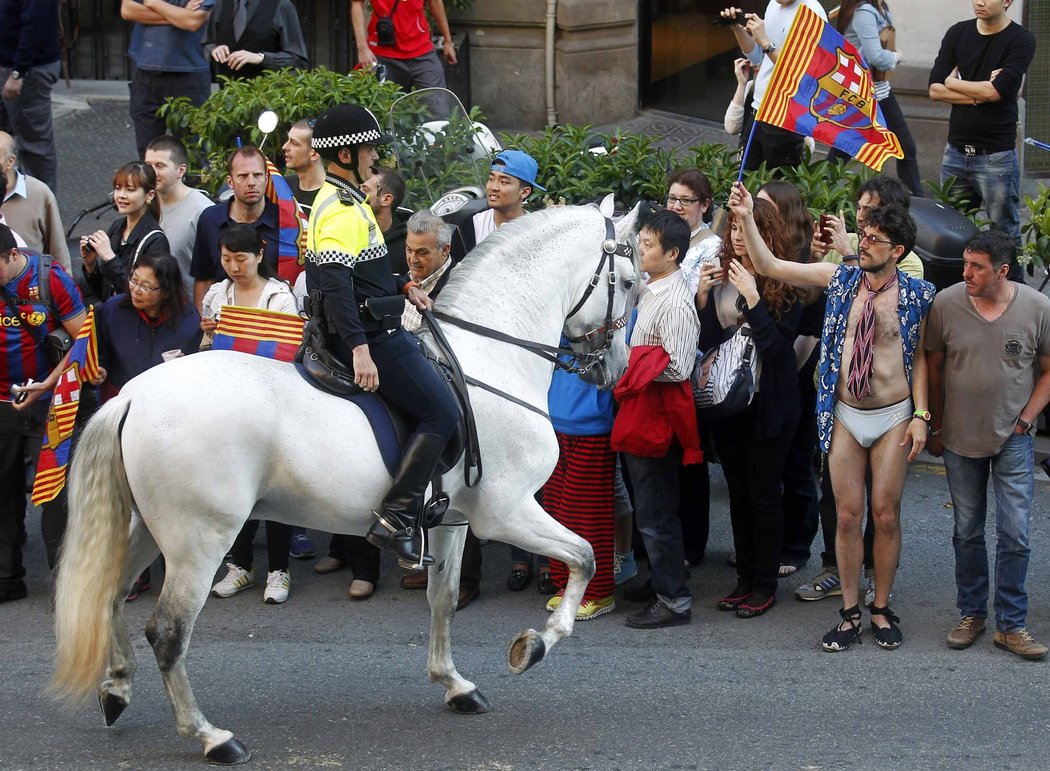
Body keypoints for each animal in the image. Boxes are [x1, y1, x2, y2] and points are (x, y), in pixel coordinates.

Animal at [51, 203, 638, 768]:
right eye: (630, 282)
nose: (613, 369)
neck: (490, 362)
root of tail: (134, 395)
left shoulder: (452, 520)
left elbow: (444, 597)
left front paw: (455, 685)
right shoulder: (507, 511)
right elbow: (585, 557)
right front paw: (533, 647)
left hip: (148, 529)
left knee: (112, 594)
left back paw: (116, 690)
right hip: (199, 539)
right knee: (168, 632)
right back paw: (212, 738)